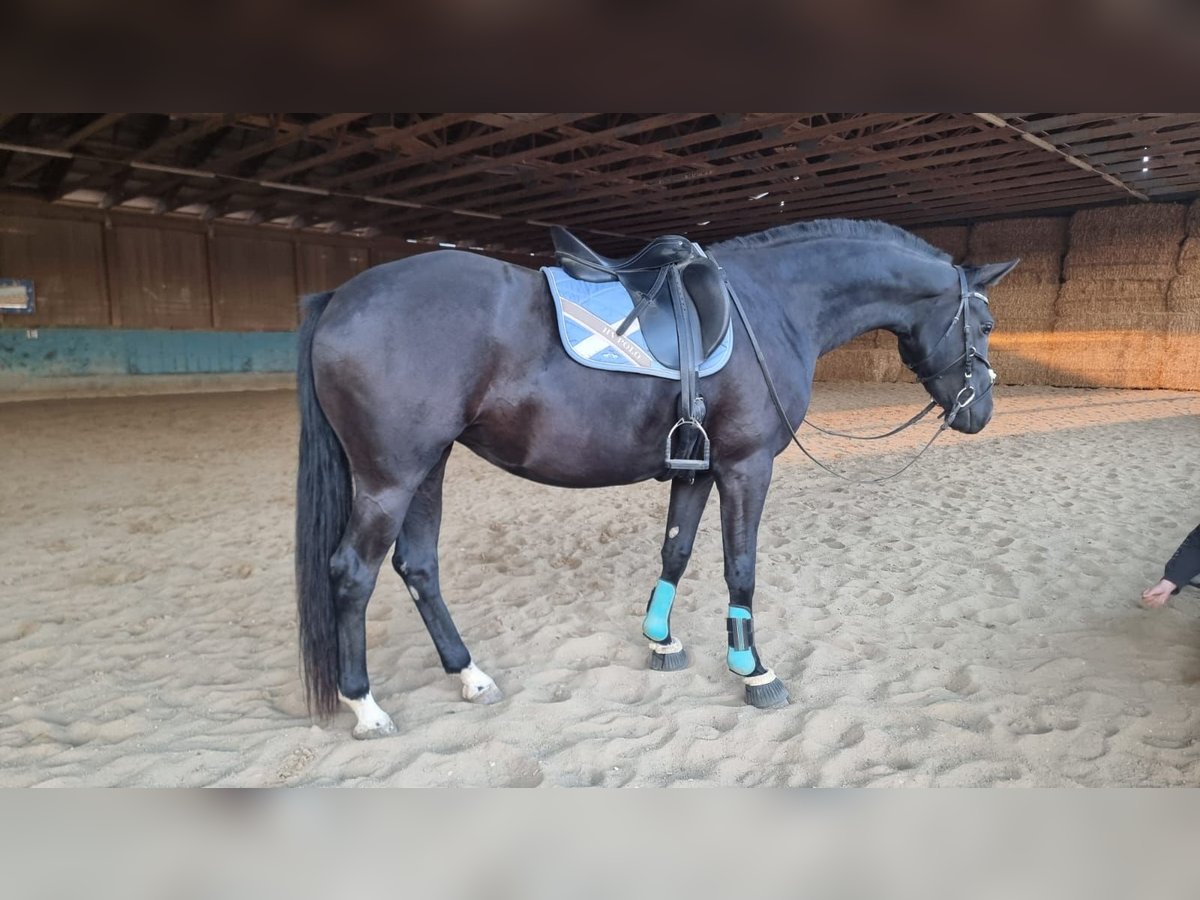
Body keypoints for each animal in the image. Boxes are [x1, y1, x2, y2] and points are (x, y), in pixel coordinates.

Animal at [294, 218, 1017, 738]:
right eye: (984, 322)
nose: (980, 411)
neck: (773, 307)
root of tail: (340, 297)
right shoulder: (746, 467)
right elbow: (740, 566)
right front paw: (754, 671)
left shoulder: (696, 468)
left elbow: (677, 549)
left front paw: (662, 641)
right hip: (390, 477)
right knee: (353, 574)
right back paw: (366, 707)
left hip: (429, 467)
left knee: (418, 566)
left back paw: (469, 675)